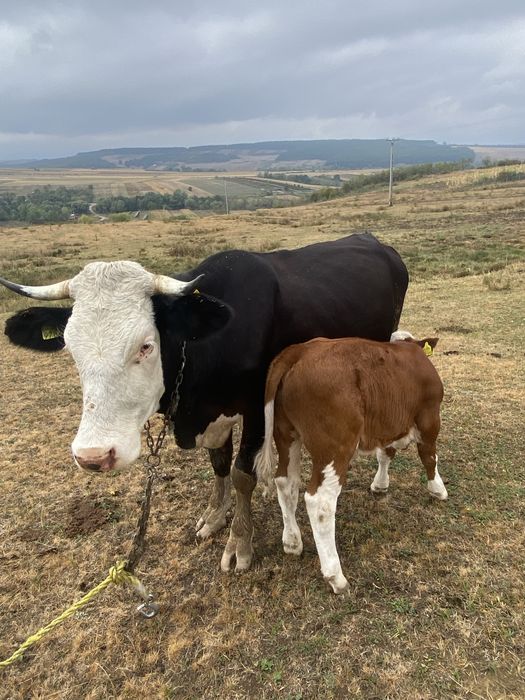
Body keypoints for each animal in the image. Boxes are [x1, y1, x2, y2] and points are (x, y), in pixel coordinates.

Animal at [1, 233, 408, 572]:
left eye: (145, 346)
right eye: (70, 347)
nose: (94, 456)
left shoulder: (255, 407)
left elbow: (242, 473)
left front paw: (239, 542)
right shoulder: (215, 415)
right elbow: (219, 464)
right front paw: (214, 516)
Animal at [255, 332, 446, 593]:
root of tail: (299, 351)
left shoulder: (386, 424)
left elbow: (385, 454)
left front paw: (380, 484)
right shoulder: (429, 417)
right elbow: (429, 455)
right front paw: (438, 488)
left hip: (286, 434)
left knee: (286, 482)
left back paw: (292, 542)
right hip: (335, 448)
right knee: (320, 502)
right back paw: (335, 576)